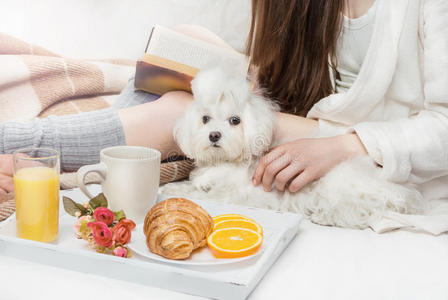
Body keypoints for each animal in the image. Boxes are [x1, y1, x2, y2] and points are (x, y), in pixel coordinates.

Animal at [161, 66, 424, 230]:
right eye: (205, 119)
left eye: (235, 120)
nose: (214, 135)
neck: (225, 161)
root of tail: (392, 188)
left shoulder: (242, 194)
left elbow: (207, 195)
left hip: (340, 188)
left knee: (360, 210)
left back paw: (326, 216)